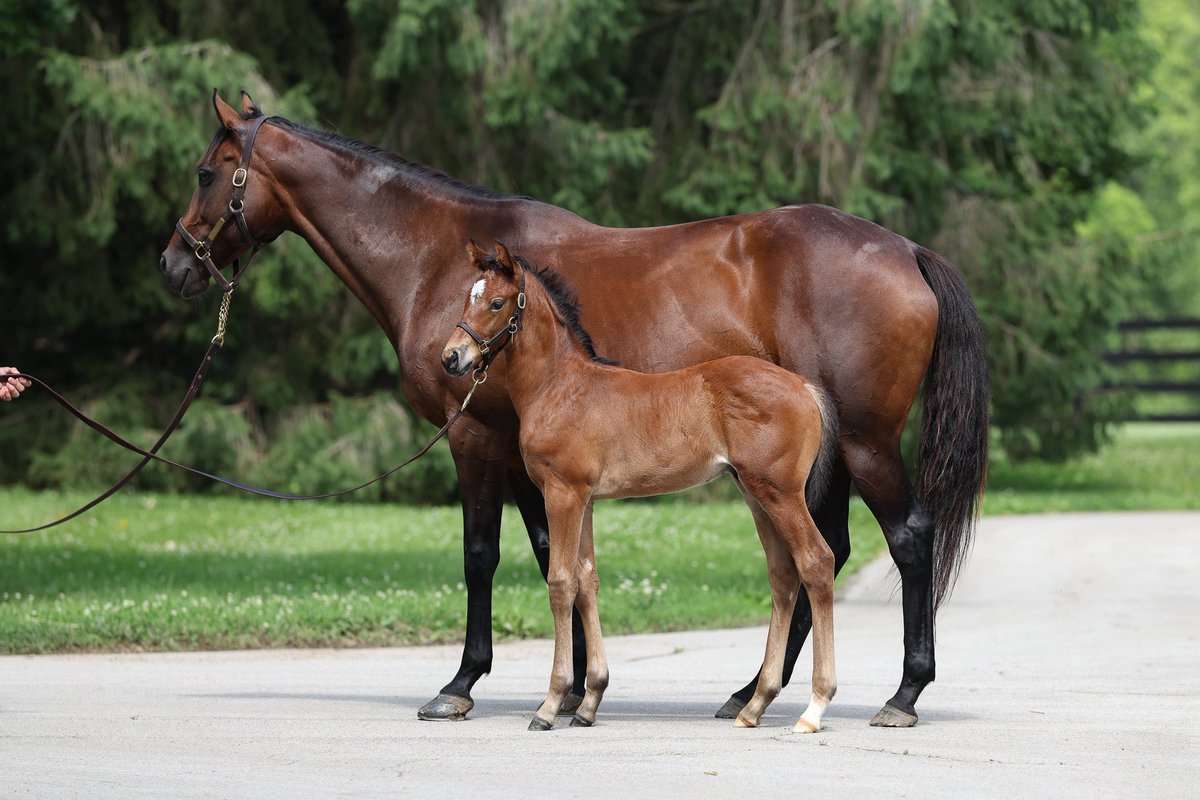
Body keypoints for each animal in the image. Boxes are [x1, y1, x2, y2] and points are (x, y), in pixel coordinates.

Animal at [443, 242, 840, 732]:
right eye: (468, 298)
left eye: (497, 303)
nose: (451, 357)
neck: (559, 387)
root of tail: (803, 385)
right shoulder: (586, 499)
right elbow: (586, 580)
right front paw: (590, 702)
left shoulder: (562, 493)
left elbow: (560, 582)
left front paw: (551, 704)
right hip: (755, 496)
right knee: (783, 576)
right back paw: (754, 706)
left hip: (780, 493)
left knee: (817, 562)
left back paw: (814, 708)